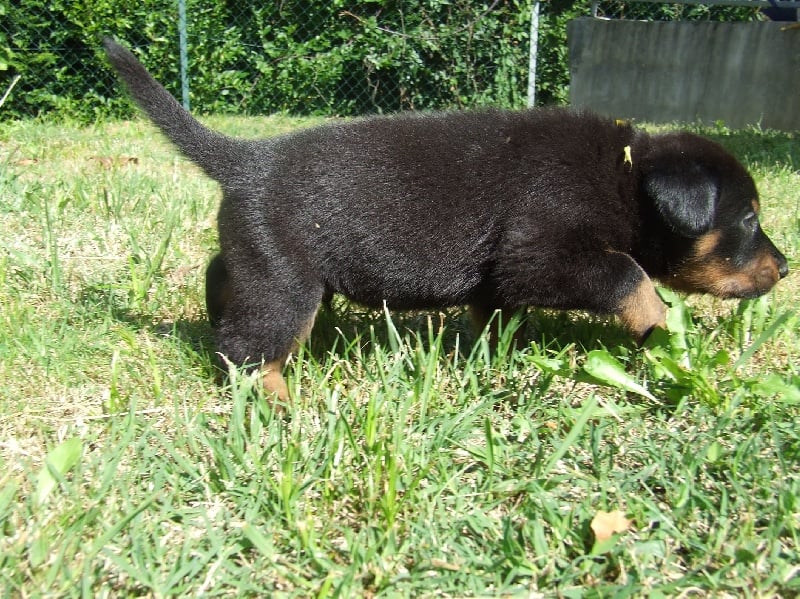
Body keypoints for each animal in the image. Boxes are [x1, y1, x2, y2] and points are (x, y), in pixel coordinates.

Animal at [104, 38, 788, 404]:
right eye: (747, 218)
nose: (784, 268)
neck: (625, 178)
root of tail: (247, 159)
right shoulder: (541, 251)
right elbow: (627, 275)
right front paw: (663, 332)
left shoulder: (502, 277)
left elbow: (497, 314)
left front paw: (497, 354)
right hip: (285, 286)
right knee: (248, 351)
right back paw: (279, 403)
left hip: (259, 262)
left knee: (222, 281)